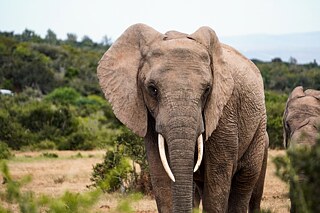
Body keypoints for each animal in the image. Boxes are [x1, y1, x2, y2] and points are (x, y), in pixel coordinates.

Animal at [96, 23, 268, 213]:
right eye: (152, 89)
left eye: (207, 89)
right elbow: (160, 173)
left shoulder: (225, 110)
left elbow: (218, 173)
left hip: (259, 127)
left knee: (244, 182)